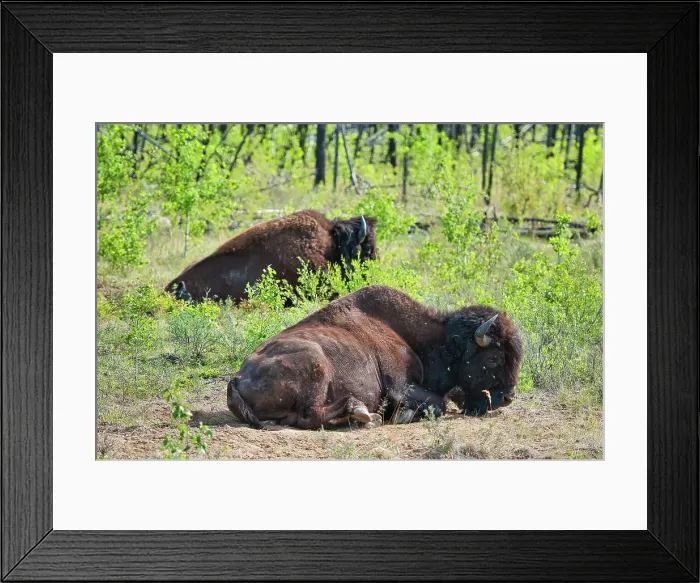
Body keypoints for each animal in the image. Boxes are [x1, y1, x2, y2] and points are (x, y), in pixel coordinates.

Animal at [227, 285, 522, 429]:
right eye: (494, 358)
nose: (508, 398)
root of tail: (238, 377)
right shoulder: (400, 386)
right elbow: (438, 404)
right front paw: (402, 415)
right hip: (315, 362)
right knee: (310, 415)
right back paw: (362, 414)